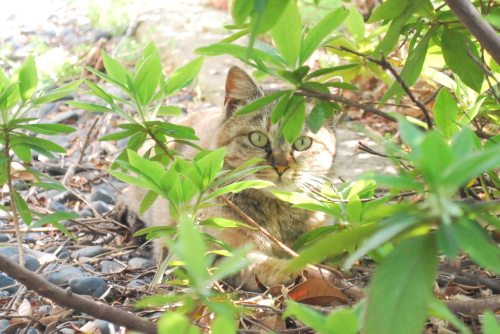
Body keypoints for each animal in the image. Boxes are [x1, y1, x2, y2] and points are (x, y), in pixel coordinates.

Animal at [118, 66, 336, 290]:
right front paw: (292, 269)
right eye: (258, 138)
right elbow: (250, 262)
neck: (275, 213)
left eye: (302, 143)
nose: (281, 166)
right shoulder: (195, 250)